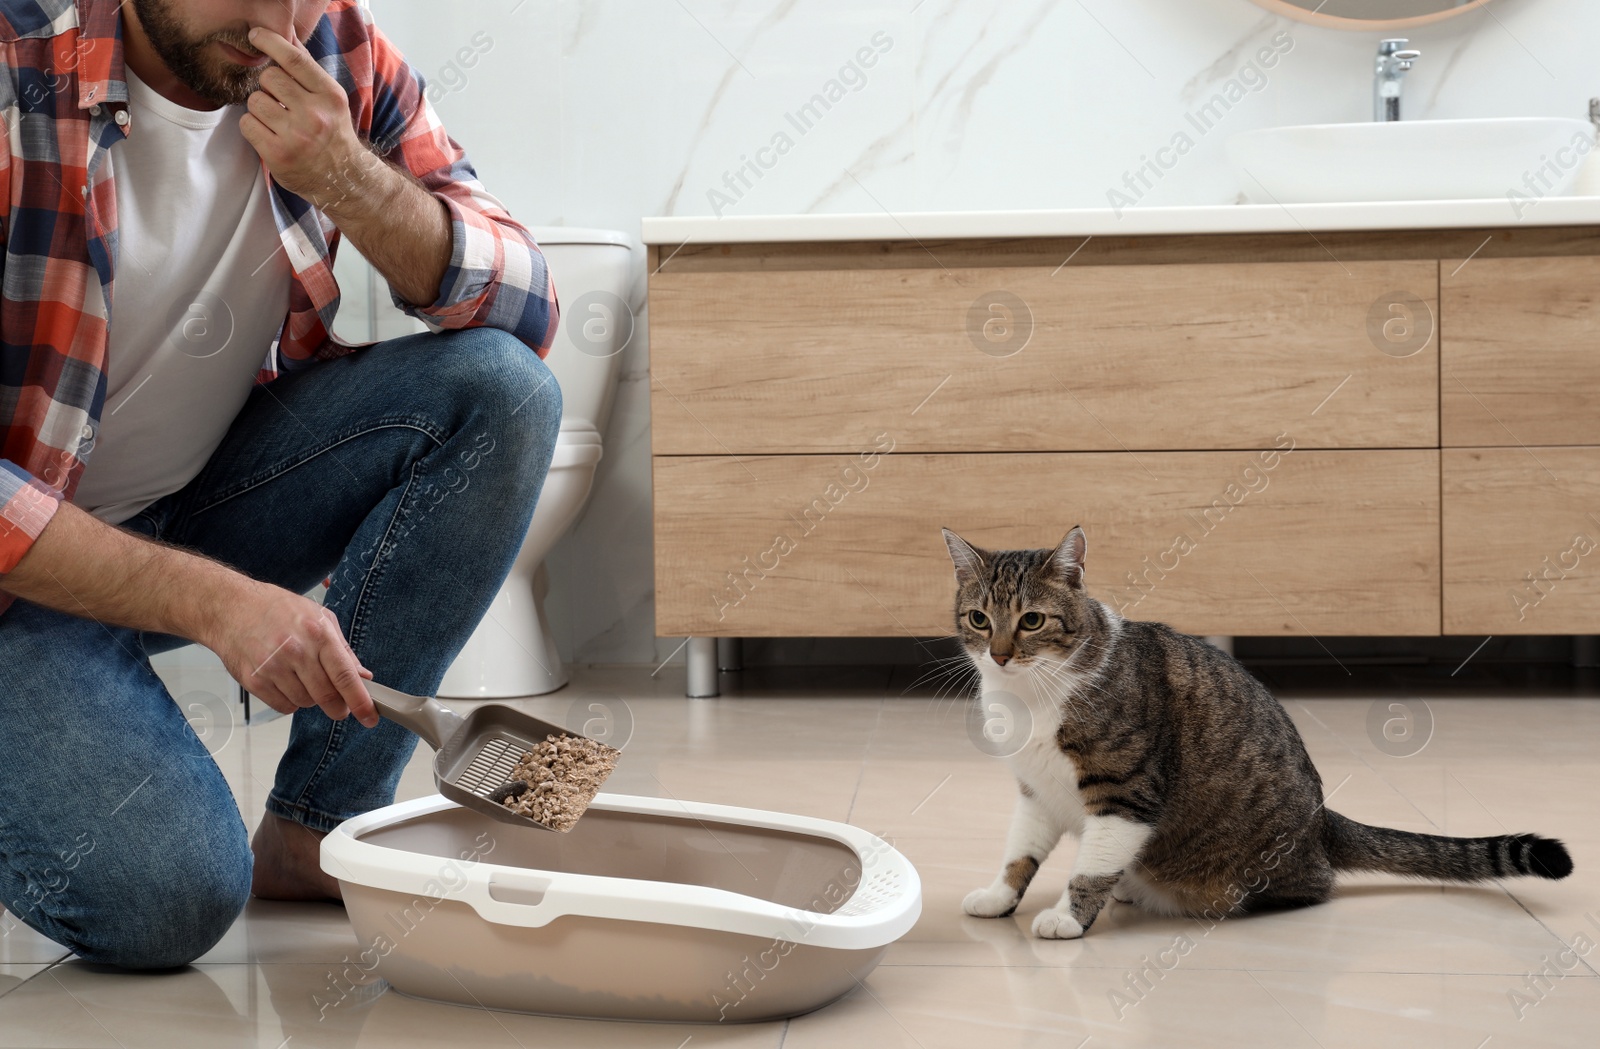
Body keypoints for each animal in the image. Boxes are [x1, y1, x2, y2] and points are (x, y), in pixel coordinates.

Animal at [940, 524, 1568, 940]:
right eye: (979, 619)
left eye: (1031, 620)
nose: (999, 655)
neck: (1029, 697)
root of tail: (1322, 821)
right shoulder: (1036, 790)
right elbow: (1019, 852)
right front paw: (999, 897)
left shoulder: (1125, 790)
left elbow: (1092, 863)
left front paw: (1069, 917)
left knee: (1312, 887)